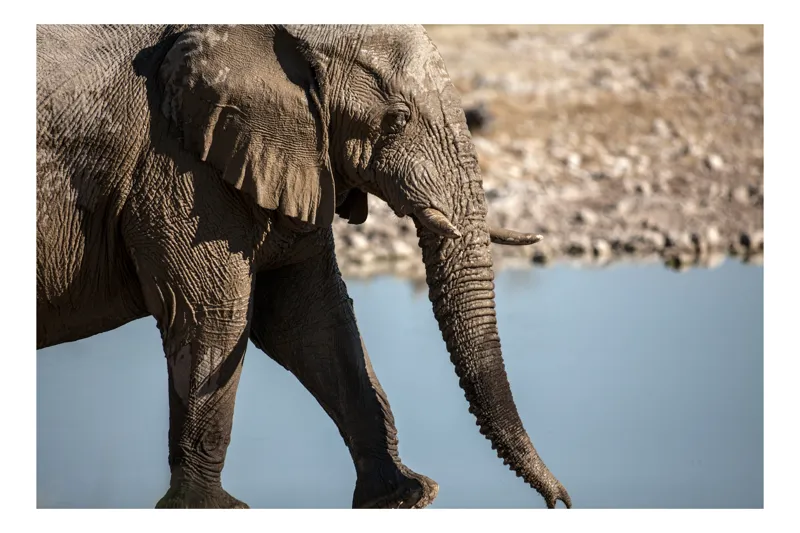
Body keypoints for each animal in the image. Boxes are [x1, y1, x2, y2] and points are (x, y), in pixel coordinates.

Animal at [36, 24, 571, 509]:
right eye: (396, 120)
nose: (561, 502)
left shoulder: (295, 159)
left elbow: (311, 319)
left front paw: (404, 496)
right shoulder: (176, 166)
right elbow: (212, 317)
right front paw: (208, 509)